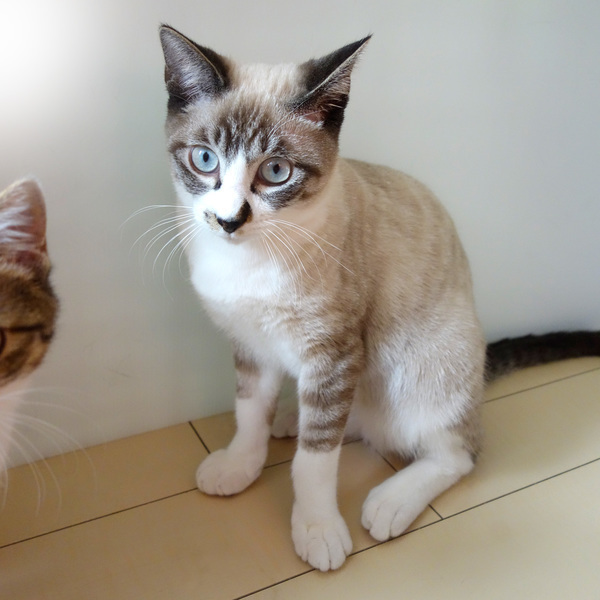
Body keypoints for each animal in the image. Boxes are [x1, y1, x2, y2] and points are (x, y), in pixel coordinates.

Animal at [158, 26, 600, 571]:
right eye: (205, 160)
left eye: (277, 172)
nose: (229, 220)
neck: (249, 264)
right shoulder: (250, 341)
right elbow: (248, 415)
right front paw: (241, 465)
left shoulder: (334, 352)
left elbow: (314, 464)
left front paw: (317, 530)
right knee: (346, 420)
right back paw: (292, 420)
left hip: (420, 371)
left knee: (453, 451)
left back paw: (389, 502)